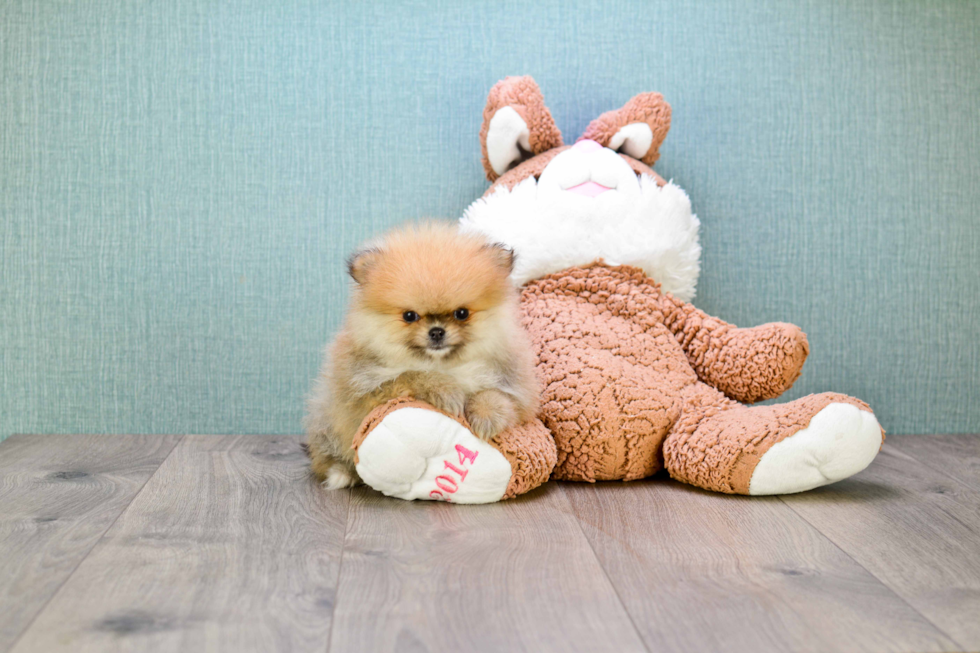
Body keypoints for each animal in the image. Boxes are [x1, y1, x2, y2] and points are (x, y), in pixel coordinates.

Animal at [302, 220, 540, 488]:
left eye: (461, 313)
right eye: (409, 316)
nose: (436, 331)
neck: (443, 365)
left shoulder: (518, 391)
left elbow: (498, 397)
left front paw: (486, 416)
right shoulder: (364, 398)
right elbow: (412, 375)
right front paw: (445, 390)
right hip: (325, 419)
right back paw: (341, 473)